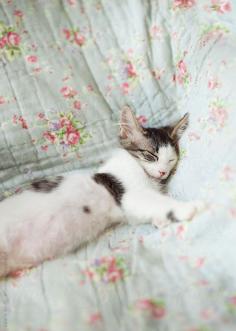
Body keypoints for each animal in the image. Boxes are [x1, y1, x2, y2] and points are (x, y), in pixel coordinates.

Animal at [0, 106, 204, 278]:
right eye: (150, 156)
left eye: (171, 160)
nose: (163, 172)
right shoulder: (129, 195)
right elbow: (159, 200)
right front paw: (188, 208)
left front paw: (161, 219)